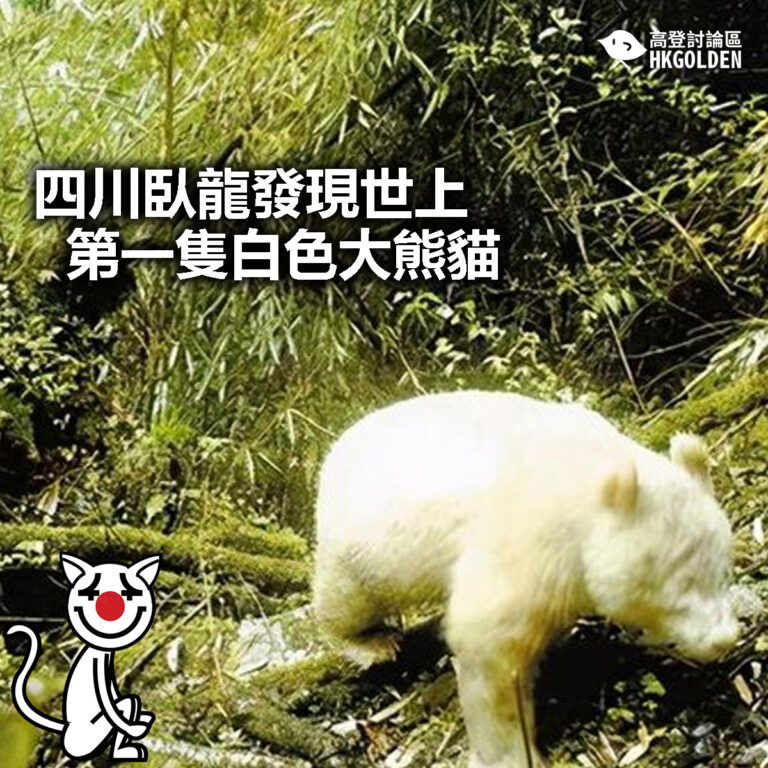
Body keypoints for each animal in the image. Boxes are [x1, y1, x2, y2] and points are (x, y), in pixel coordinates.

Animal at [312, 391, 740, 768]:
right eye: (682, 584)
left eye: (721, 572)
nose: (724, 639)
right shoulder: (528, 537)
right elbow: (490, 645)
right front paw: (511, 753)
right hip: (362, 543)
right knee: (348, 599)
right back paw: (373, 642)